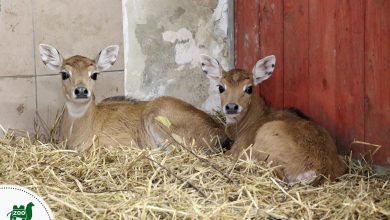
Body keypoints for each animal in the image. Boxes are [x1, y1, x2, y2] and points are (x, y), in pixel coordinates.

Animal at [200, 54, 346, 183]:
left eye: (249, 88)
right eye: (220, 87)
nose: (231, 107)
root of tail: (317, 170)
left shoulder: (239, 148)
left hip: (264, 141)